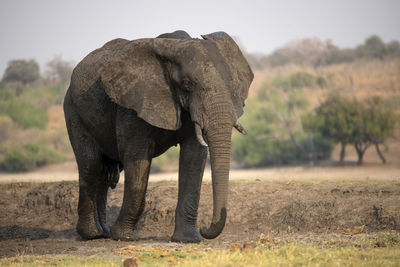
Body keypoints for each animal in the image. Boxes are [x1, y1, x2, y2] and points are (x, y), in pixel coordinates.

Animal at [63, 30, 253, 244]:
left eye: (231, 85)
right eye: (187, 84)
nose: (205, 228)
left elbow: (193, 158)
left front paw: (187, 239)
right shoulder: (132, 105)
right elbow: (137, 159)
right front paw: (125, 237)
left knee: (105, 170)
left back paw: (103, 232)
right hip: (73, 111)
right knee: (91, 164)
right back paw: (92, 234)